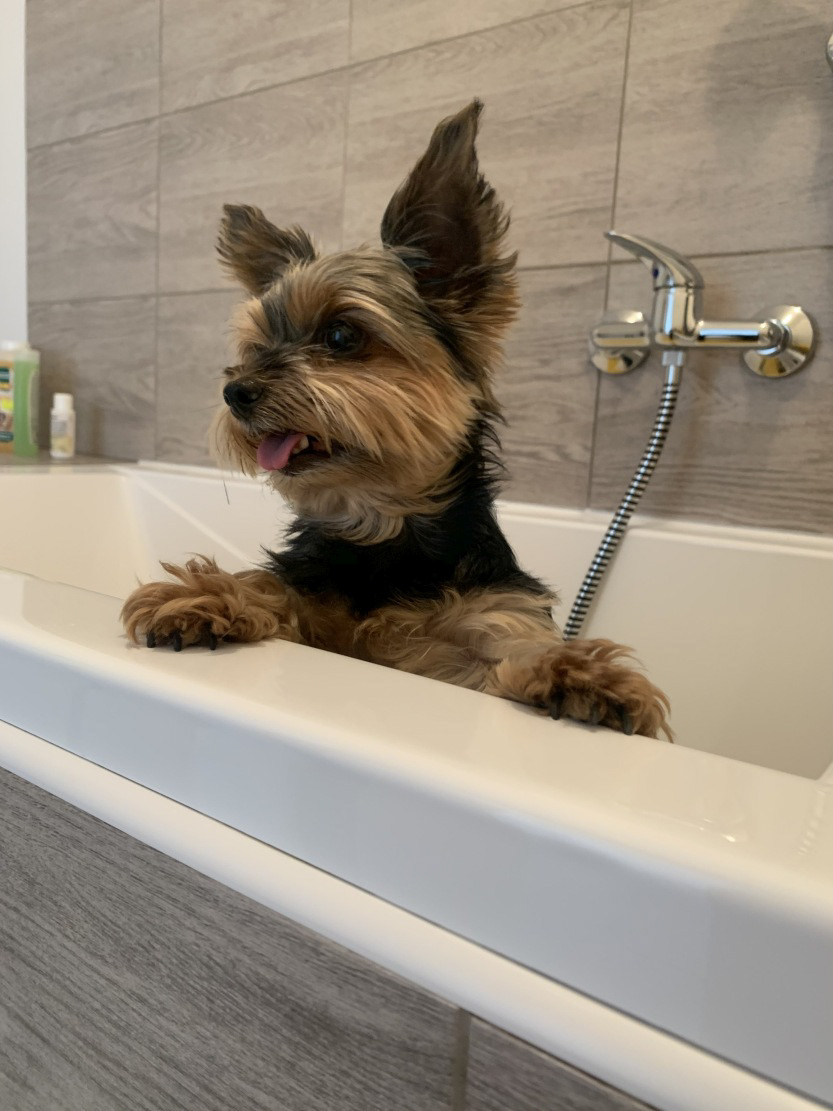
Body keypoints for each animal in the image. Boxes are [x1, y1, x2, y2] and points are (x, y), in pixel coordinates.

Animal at [121, 100, 670, 740]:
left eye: (340, 335)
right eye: (257, 347)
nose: (236, 391)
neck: (379, 529)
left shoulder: (484, 620)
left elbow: (515, 645)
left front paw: (580, 672)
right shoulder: (311, 598)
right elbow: (272, 587)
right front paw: (208, 593)